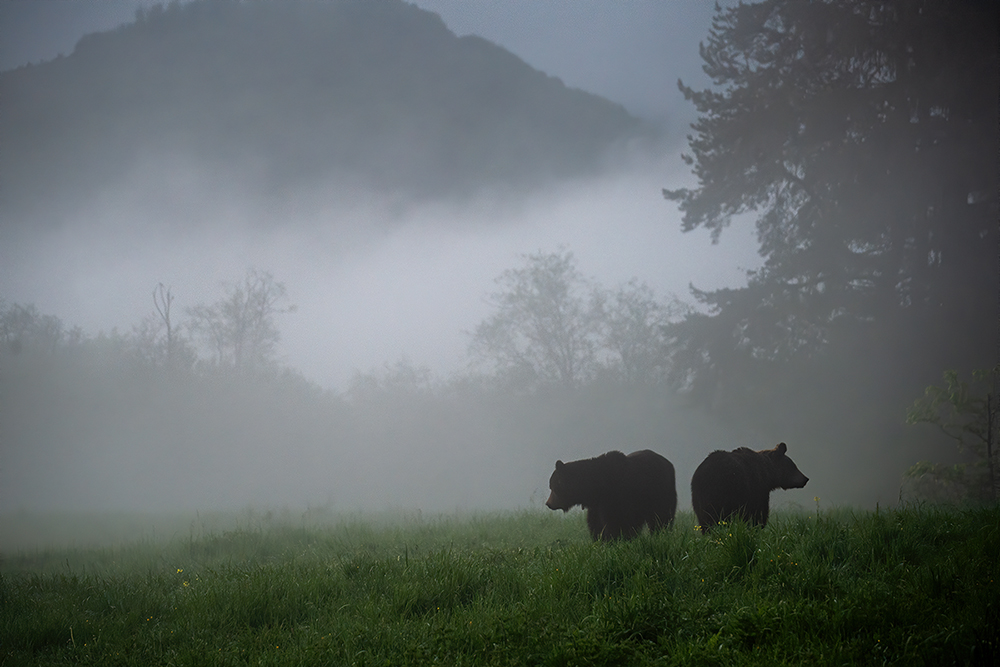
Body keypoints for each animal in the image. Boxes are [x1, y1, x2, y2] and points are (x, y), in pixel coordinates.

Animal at [548, 448, 680, 544]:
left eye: (553, 487)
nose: (548, 503)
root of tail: (670, 464)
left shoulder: (617, 497)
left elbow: (617, 522)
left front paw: (616, 539)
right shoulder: (596, 505)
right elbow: (595, 523)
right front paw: (600, 539)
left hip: (660, 493)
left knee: (662, 517)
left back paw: (661, 533)